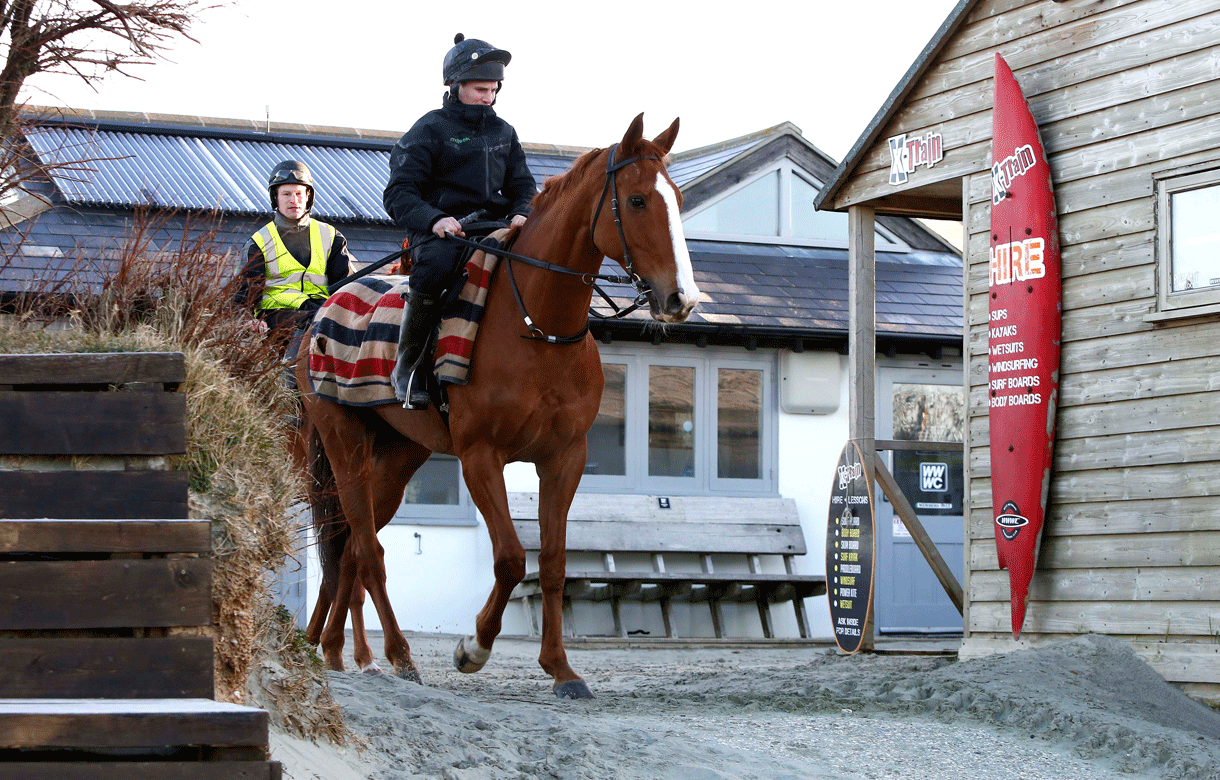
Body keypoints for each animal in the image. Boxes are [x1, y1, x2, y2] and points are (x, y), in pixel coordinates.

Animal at [296, 112, 697, 698]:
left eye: (679, 199)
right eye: (639, 199)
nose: (681, 299)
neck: (537, 328)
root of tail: (319, 316)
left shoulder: (564, 458)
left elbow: (551, 562)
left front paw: (562, 669)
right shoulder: (480, 456)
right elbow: (509, 557)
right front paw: (473, 647)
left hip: (396, 459)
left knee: (349, 549)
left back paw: (333, 651)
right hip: (345, 444)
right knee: (367, 550)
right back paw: (397, 655)